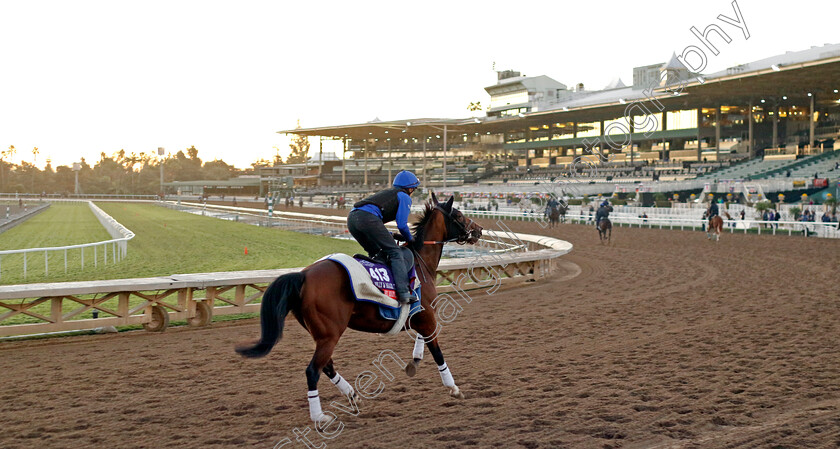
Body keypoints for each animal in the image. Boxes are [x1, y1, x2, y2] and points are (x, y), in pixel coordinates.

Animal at [240, 194, 482, 422]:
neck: (420, 262)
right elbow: (437, 350)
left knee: (326, 366)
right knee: (313, 370)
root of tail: (303, 276)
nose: (479, 230)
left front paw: (415, 361)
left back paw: (353, 395)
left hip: (320, 333)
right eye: (459, 215)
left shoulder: (421, 316)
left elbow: (423, 340)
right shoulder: (427, 316)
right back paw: (320, 416)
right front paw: (453, 388)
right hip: (330, 334)